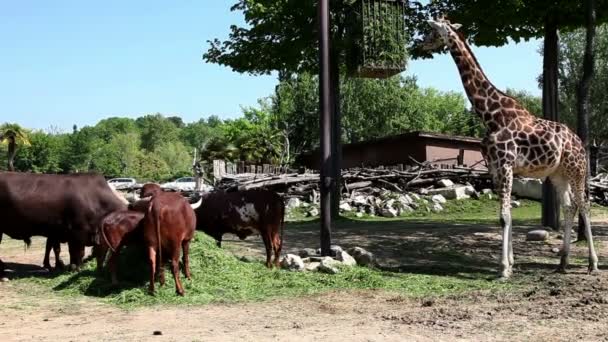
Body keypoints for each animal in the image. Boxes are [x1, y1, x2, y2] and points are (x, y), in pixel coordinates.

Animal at [422, 18, 600, 278]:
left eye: (432, 30)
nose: (421, 44)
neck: (490, 116)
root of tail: (580, 142)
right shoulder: (495, 168)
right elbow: (507, 216)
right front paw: (512, 262)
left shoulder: (505, 165)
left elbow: (504, 216)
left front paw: (504, 268)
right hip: (558, 174)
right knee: (569, 207)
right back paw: (563, 262)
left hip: (576, 170)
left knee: (584, 206)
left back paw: (592, 263)